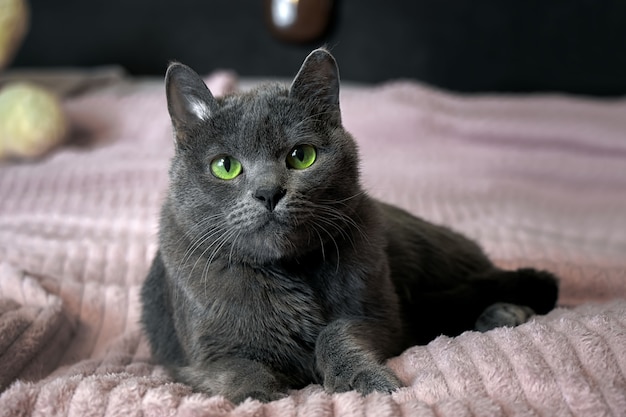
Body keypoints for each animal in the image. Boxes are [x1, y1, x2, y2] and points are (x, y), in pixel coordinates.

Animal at [140, 48, 556, 404]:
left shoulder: (381, 318)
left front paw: (363, 380)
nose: (268, 192)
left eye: (302, 156)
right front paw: (259, 397)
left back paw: (506, 312)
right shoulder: (198, 359)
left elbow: (336, 331)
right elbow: (234, 367)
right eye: (225, 166)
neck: (289, 270)